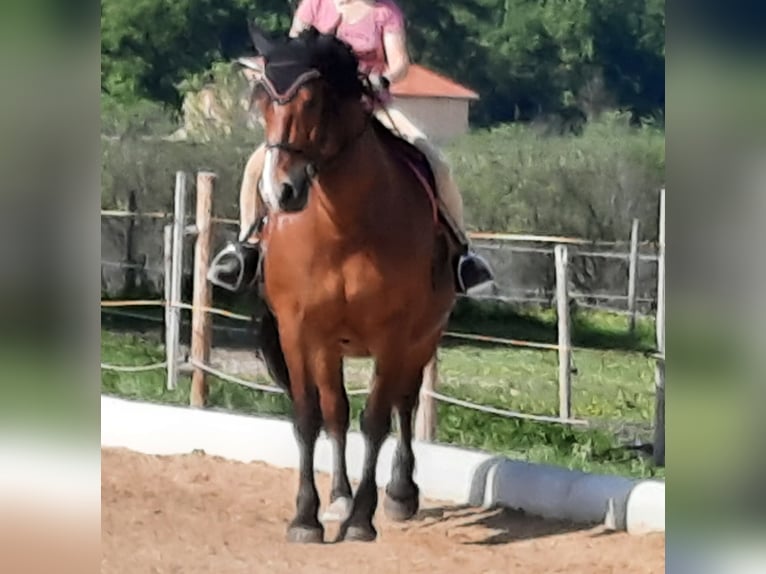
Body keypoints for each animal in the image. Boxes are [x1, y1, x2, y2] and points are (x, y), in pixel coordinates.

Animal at [246, 23, 462, 544]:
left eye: (313, 101)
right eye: (263, 100)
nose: (281, 192)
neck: (342, 227)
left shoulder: (394, 335)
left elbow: (377, 419)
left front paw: (363, 519)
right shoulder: (299, 330)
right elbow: (310, 416)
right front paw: (305, 518)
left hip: (423, 337)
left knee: (404, 404)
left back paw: (400, 494)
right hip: (331, 346)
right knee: (336, 411)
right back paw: (339, 496)